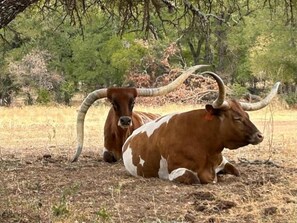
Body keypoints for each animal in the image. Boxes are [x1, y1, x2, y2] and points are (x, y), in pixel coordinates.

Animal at [121, 72, 278, 184]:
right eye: (237, 118)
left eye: (247, 115)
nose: (260, 136)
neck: (206, 147)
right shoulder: (176, 171)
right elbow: (195, 179)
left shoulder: (223, 161)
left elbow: (236, 171)